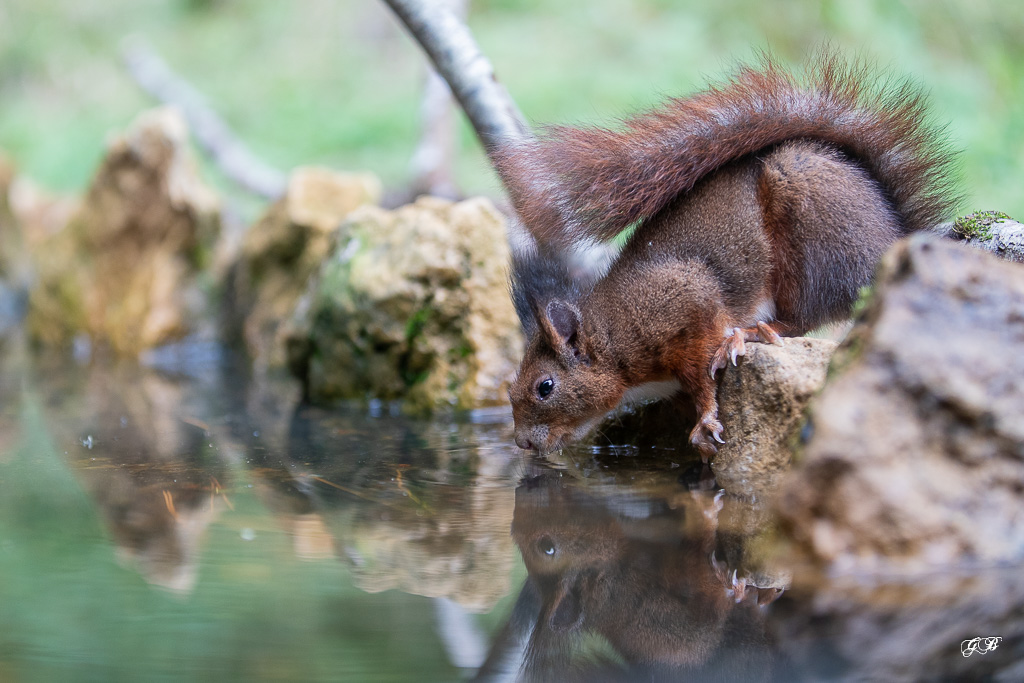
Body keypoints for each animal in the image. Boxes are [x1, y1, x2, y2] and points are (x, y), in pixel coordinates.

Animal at [499, 54, 954, 458]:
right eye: (510, 387)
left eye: (544, 387)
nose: (521, 444)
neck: (614, 336)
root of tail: (893, 236)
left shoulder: (686, 303)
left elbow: (701, 375)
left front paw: (705, 421)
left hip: (810, 247)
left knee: (804, 317)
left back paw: (752, 333)